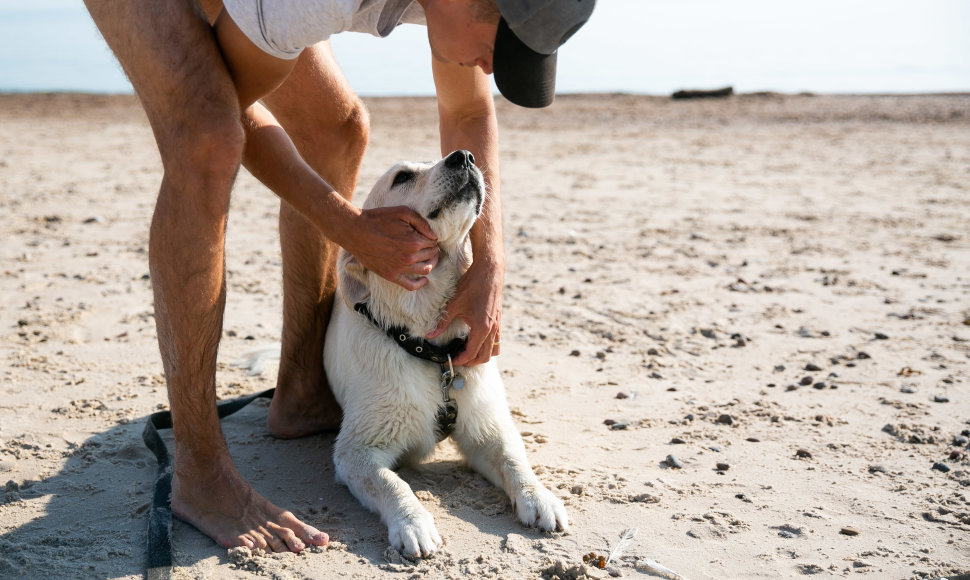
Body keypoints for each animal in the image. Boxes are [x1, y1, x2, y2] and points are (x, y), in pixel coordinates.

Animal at [326, 151, 568, 556]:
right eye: (402, 177)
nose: (464, 156)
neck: (431, 352)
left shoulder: (487, 428)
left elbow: (515, 459)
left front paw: (540, 497)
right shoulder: (356, 449)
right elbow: (391, 483)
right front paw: (413, 523)